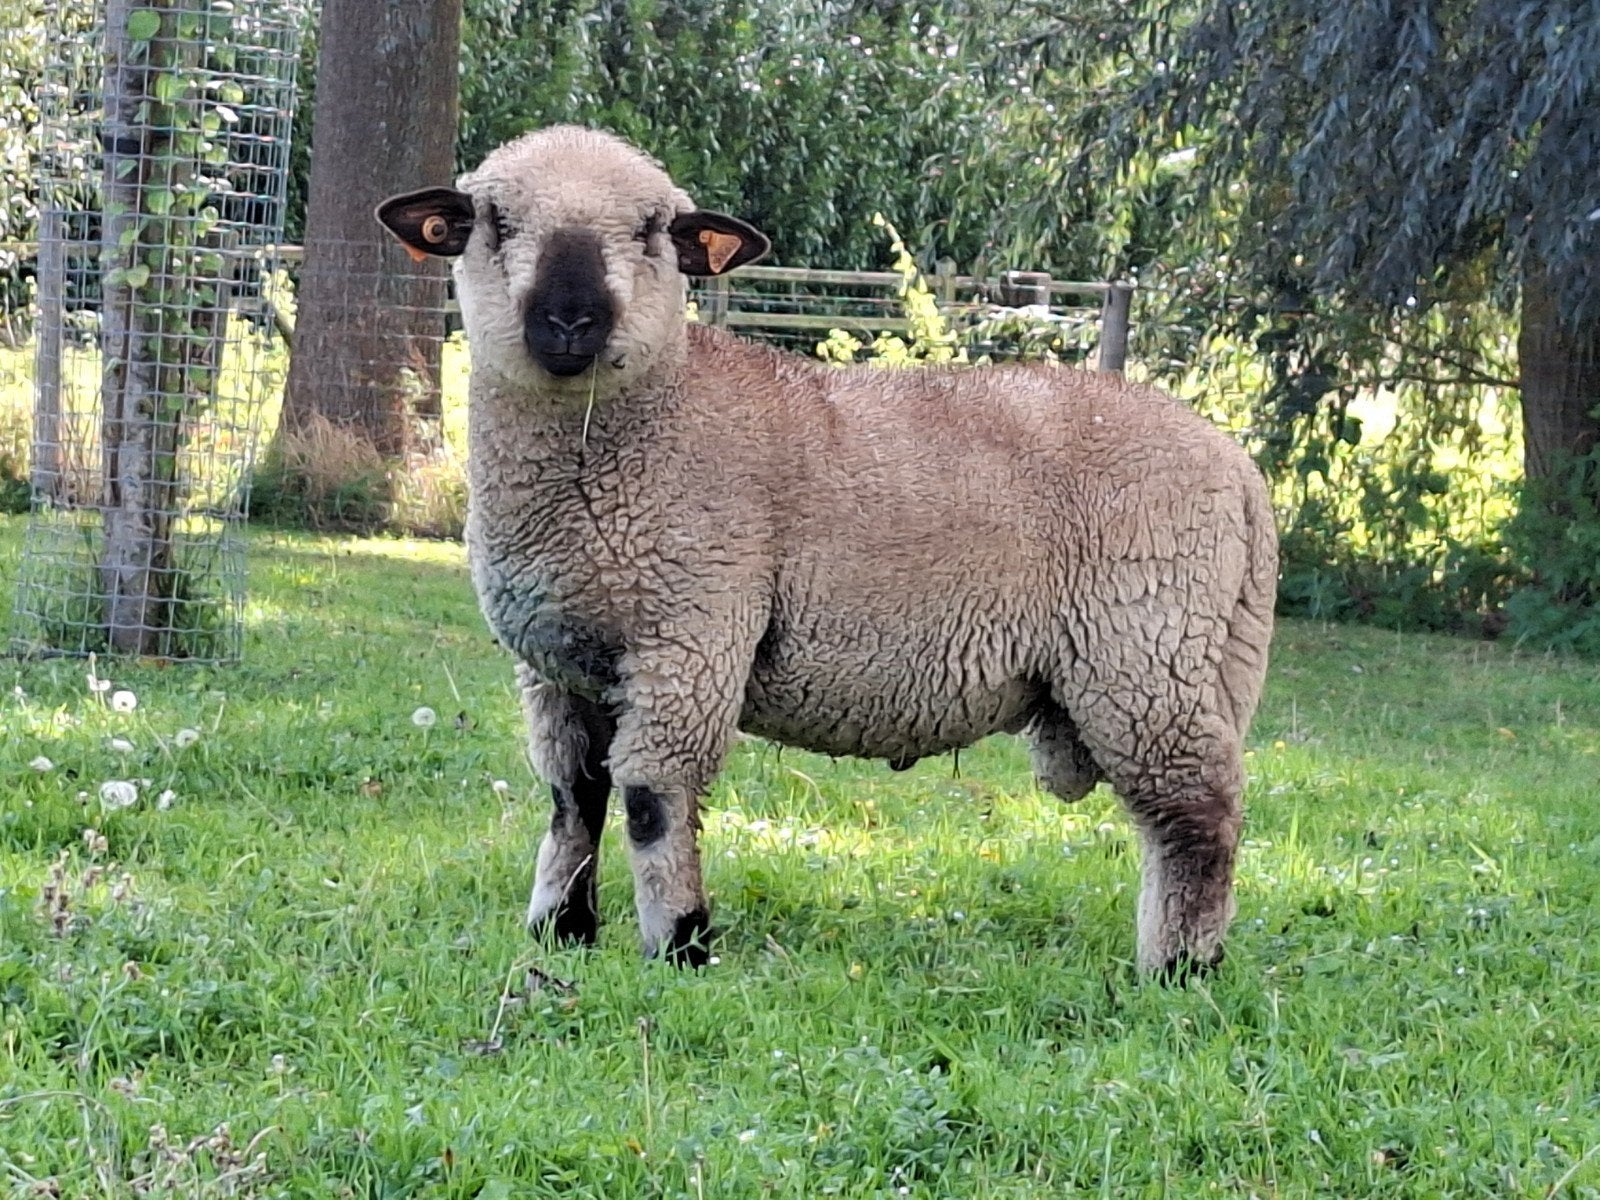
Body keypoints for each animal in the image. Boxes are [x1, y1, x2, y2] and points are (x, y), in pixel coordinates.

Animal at [376, 125, 1278, 975]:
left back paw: (1179, 971)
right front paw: (561, 931)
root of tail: (1238, 469)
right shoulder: (558, 664)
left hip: (1144, 650)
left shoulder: (691, 637)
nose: (569, 320)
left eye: (652, 230)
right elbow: (574, 797)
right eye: (495, 220)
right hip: (1177, 658)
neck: (649, 420)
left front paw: (680, 943)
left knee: (1196, 813)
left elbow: (652, 798)